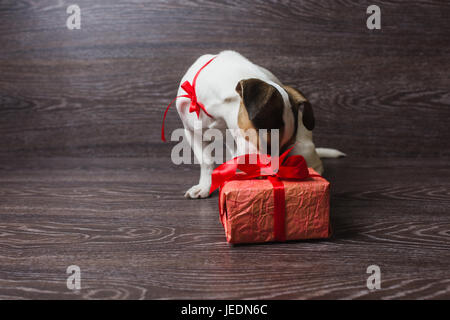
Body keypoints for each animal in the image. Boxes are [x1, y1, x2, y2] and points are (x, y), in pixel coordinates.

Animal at [176, 50, 344, 199]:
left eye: (285, 148)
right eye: (267, 143)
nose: (274, 173)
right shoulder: (192, 133)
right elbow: (206, 162)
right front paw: (205, 187)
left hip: (303, 149)